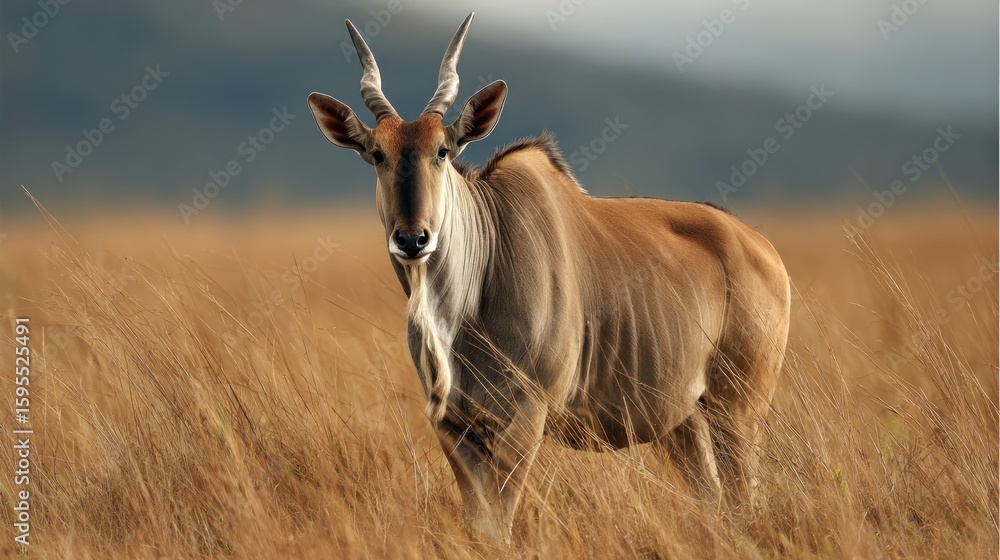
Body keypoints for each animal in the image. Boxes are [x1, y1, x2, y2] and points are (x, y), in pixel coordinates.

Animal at [307, 12, 791, 544]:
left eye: (442, 151)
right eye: (377, 154)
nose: (413, 239)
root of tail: (762, 249)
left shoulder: (525, 415)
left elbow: (498, 525)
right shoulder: (453, 423)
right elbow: (480, 524)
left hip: (736, 411)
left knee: (745, 500)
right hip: (684, 423)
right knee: (715, 501)